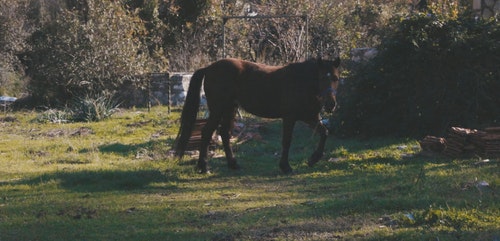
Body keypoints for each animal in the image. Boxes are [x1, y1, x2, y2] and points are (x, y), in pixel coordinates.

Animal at [174, 57, 342, 173]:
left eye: (336, 78)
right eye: (322, 77)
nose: (331, 104)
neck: (301, 82)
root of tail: (209, 68)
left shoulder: (310, 117)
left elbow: (325, 133)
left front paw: (313, 159)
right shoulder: (290, 117)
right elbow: (287, 141)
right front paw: (286, 167)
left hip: (230, 109)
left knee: (224, 133)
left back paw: (233, 164)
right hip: (218, 109)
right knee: (207, 132)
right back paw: (204, 167)